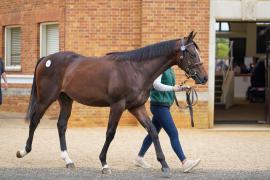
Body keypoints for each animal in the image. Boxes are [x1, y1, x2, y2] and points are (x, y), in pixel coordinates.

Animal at [16, 31, 207, 175]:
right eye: (192, 54)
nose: (204, 77)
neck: (135, 69)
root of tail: (46, 58)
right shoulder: (117, 106)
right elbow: (110, 133)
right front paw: (104, 164)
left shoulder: (136, 107)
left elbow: (152, 131)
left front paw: (164, 165)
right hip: (46, 98)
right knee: (34, 121)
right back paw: (23, 151)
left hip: (66, 99)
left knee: (61, 125)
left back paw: (68, 160)